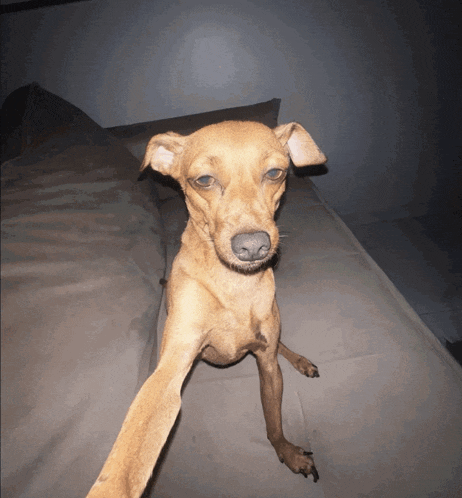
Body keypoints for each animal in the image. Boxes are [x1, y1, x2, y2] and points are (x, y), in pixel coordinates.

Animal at [85, 120, 324, 498]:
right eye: (204, 180)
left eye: (275, 173)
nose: (253, 246)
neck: (233, 285)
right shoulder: (169, 372)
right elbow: (133, 446)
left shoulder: (268, 365)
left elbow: (273, 422)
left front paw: (287, 453)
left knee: (281, 345)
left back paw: (300, 359)